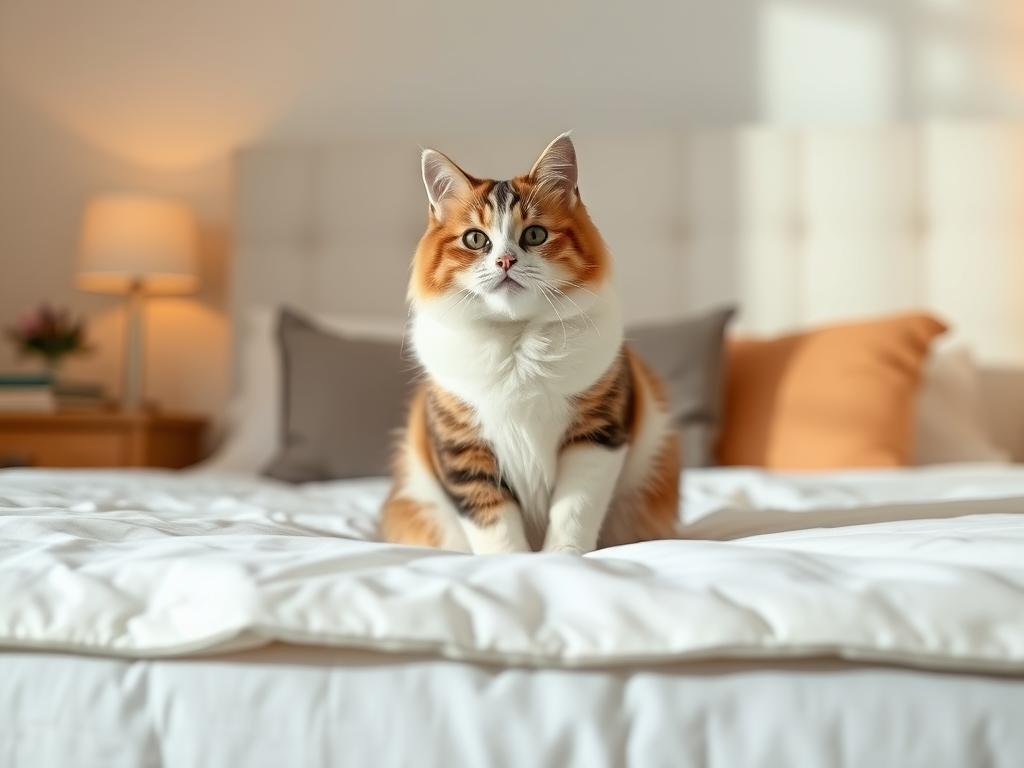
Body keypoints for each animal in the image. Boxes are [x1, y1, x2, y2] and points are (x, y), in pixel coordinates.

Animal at [380, 134, 675, 552]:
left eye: (534, 235)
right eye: (475, 239)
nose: (505, 261)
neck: (515, 340)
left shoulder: (596, 433)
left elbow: (574, 511)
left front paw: (562, 557)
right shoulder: (464, 449)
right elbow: (495, 525)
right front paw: (514, 560)